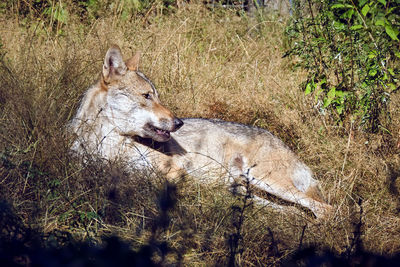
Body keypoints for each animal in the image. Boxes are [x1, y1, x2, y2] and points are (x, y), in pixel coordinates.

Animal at [70, 45, 332, 219]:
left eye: (157, 96)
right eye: (147, 96)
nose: (178, 123)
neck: (109, 143)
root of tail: (283, 143)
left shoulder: (174, 171)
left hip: (265, 180)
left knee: (324, 208)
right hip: (247, 188)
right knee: (291, 209)